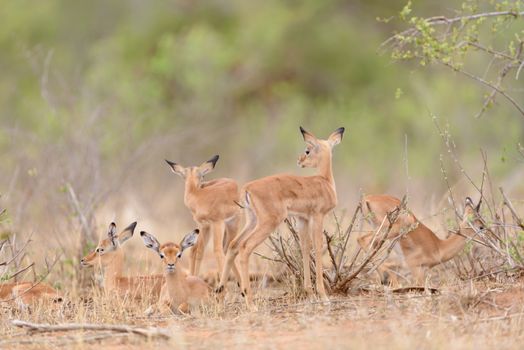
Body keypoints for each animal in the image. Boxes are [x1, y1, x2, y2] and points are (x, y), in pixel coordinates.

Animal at [216, 126, 344, 306]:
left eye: (307, 150)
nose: (299, 160)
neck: (324, 182)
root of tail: (247, 187)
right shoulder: (317, 216)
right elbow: (318, 248)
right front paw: (323, 296)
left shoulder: (303, 219)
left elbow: (305, 249)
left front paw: (310, 294)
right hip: (269, 222)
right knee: (245, 247)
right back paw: (250, 303)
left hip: (252, 221)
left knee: (233, 244)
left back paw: (220, 292)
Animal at [358, 196, 486, 286]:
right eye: (481, 226)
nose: (487, 239)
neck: (439, 246)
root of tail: (367, 198)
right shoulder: (414, 267)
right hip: (389, 230)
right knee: (362, 239)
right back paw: (387, 277)